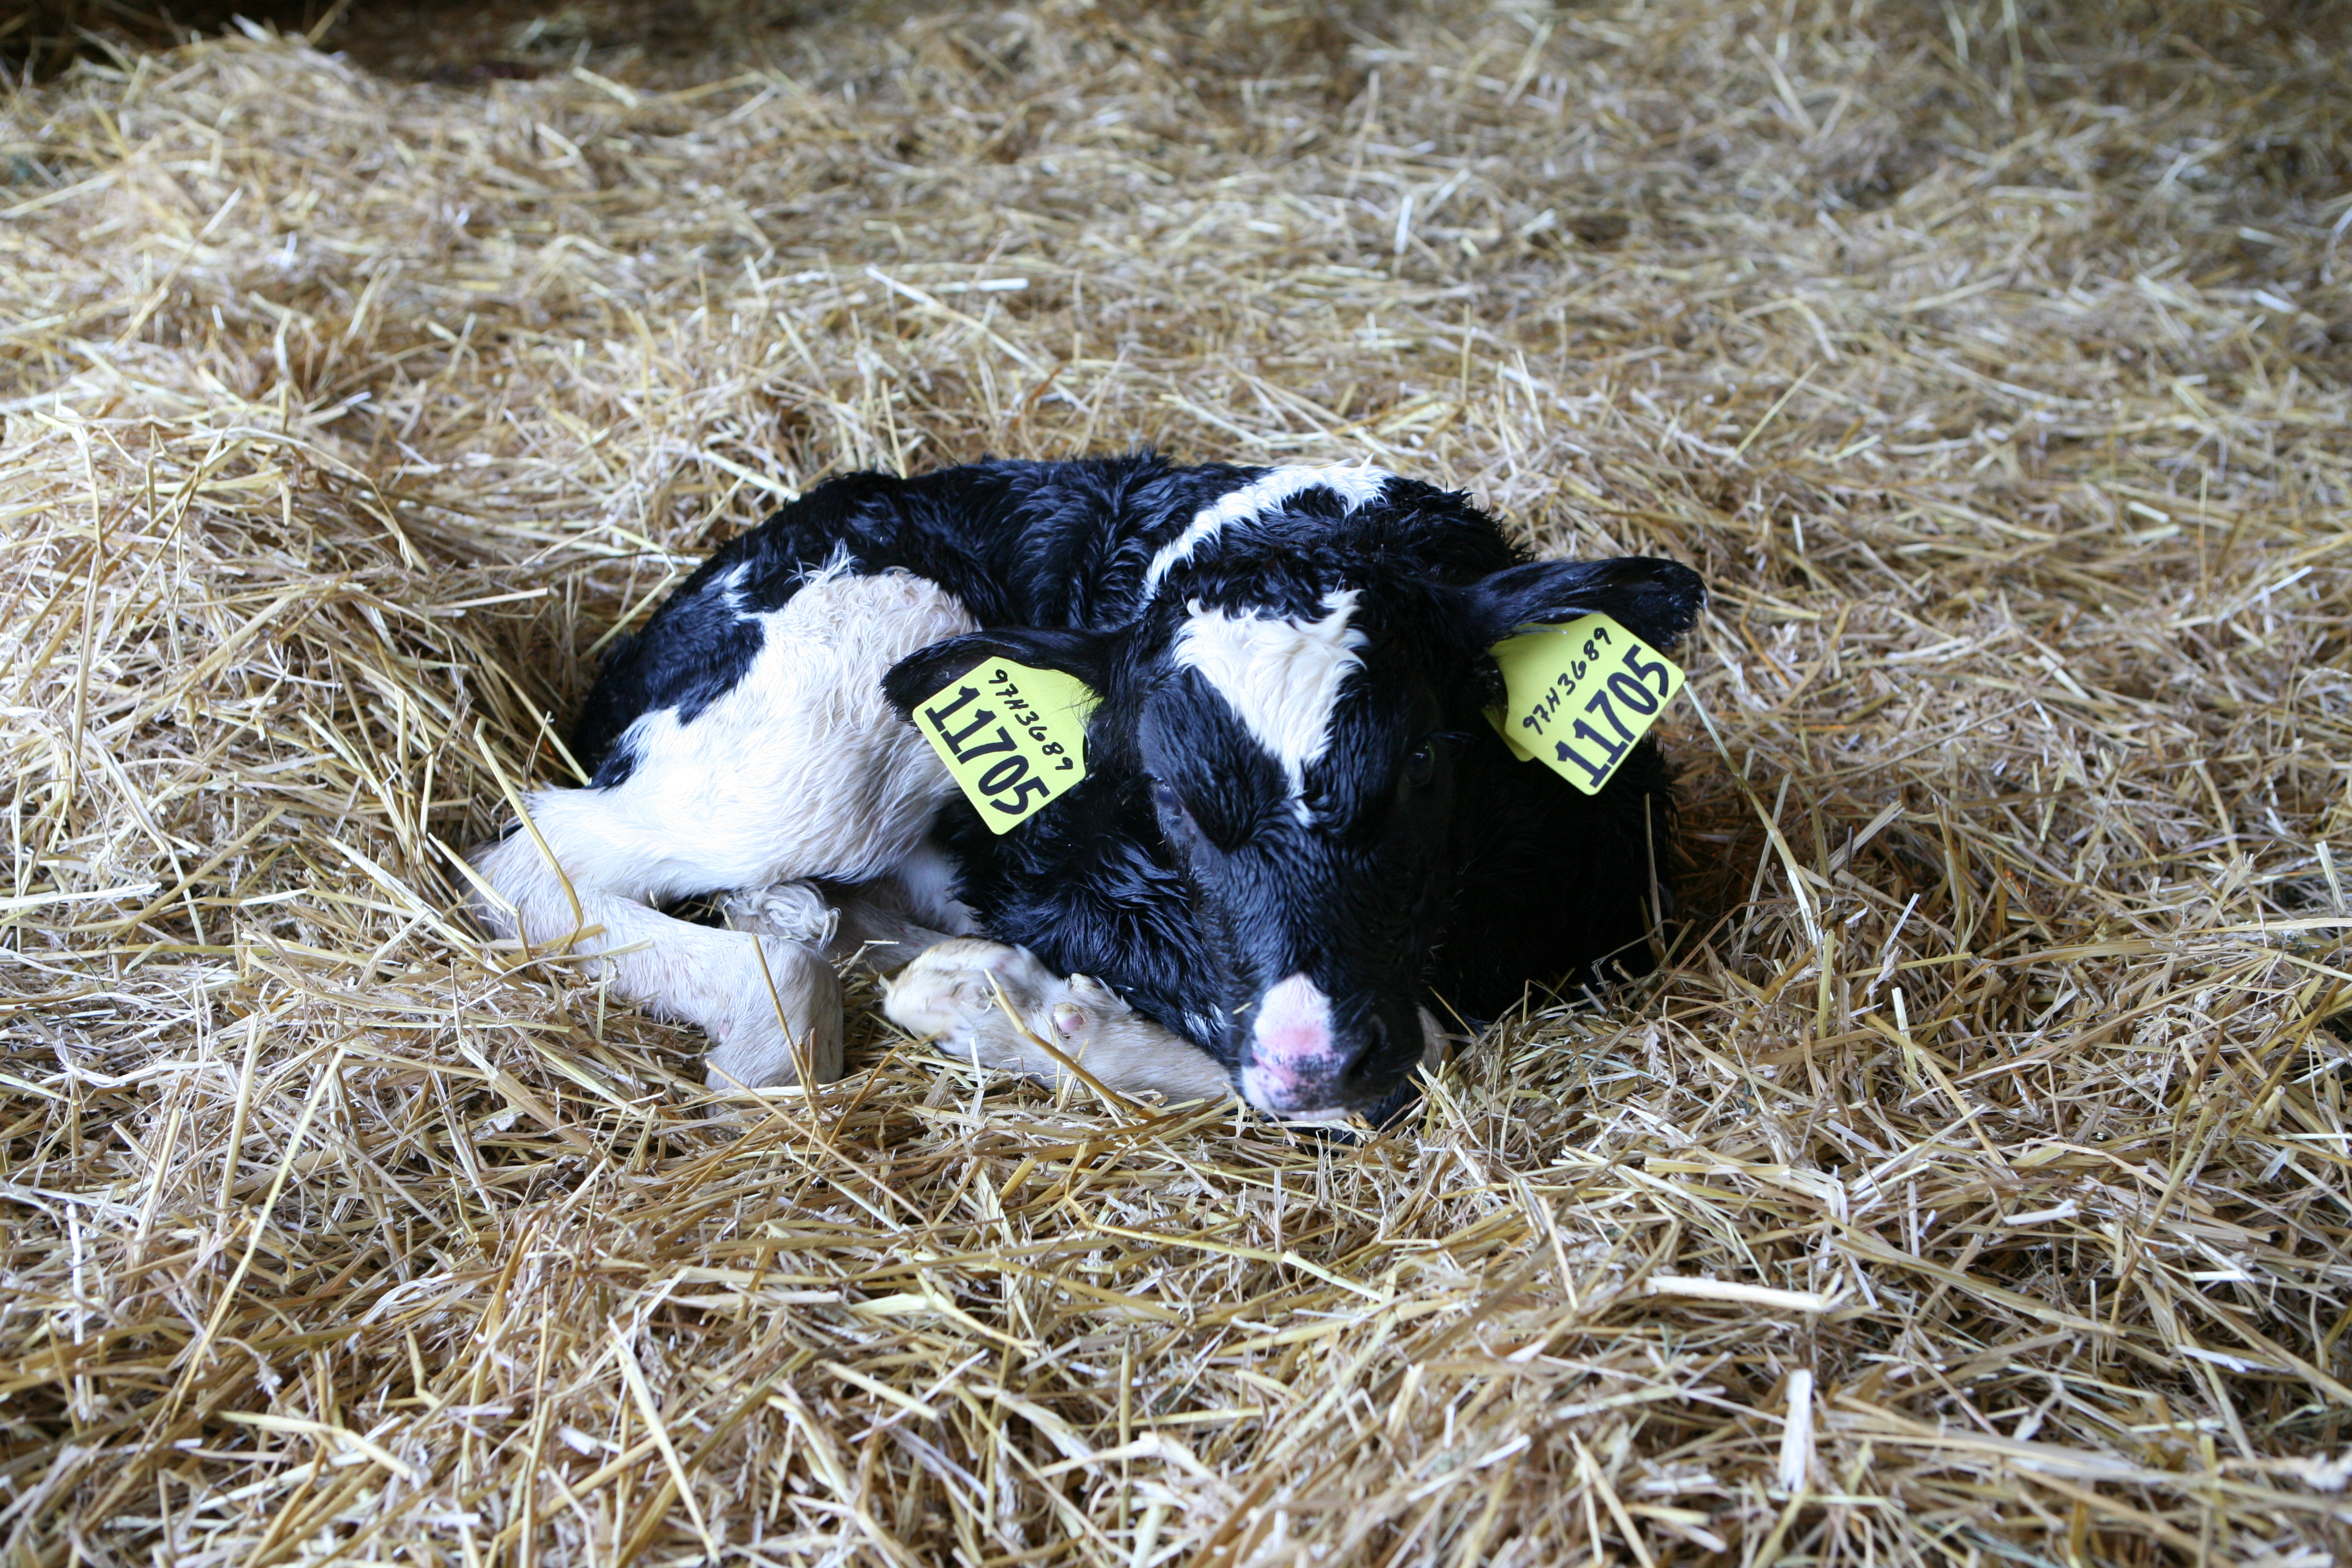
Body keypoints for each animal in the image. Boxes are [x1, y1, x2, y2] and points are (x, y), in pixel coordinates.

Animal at [466, 455, 1704, 1121]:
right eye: (1166, 798)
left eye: (1424, 761)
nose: (1314, 1060)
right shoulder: (1055, 875)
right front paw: (1024, 1009)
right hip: (849, 696)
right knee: (539, 848)